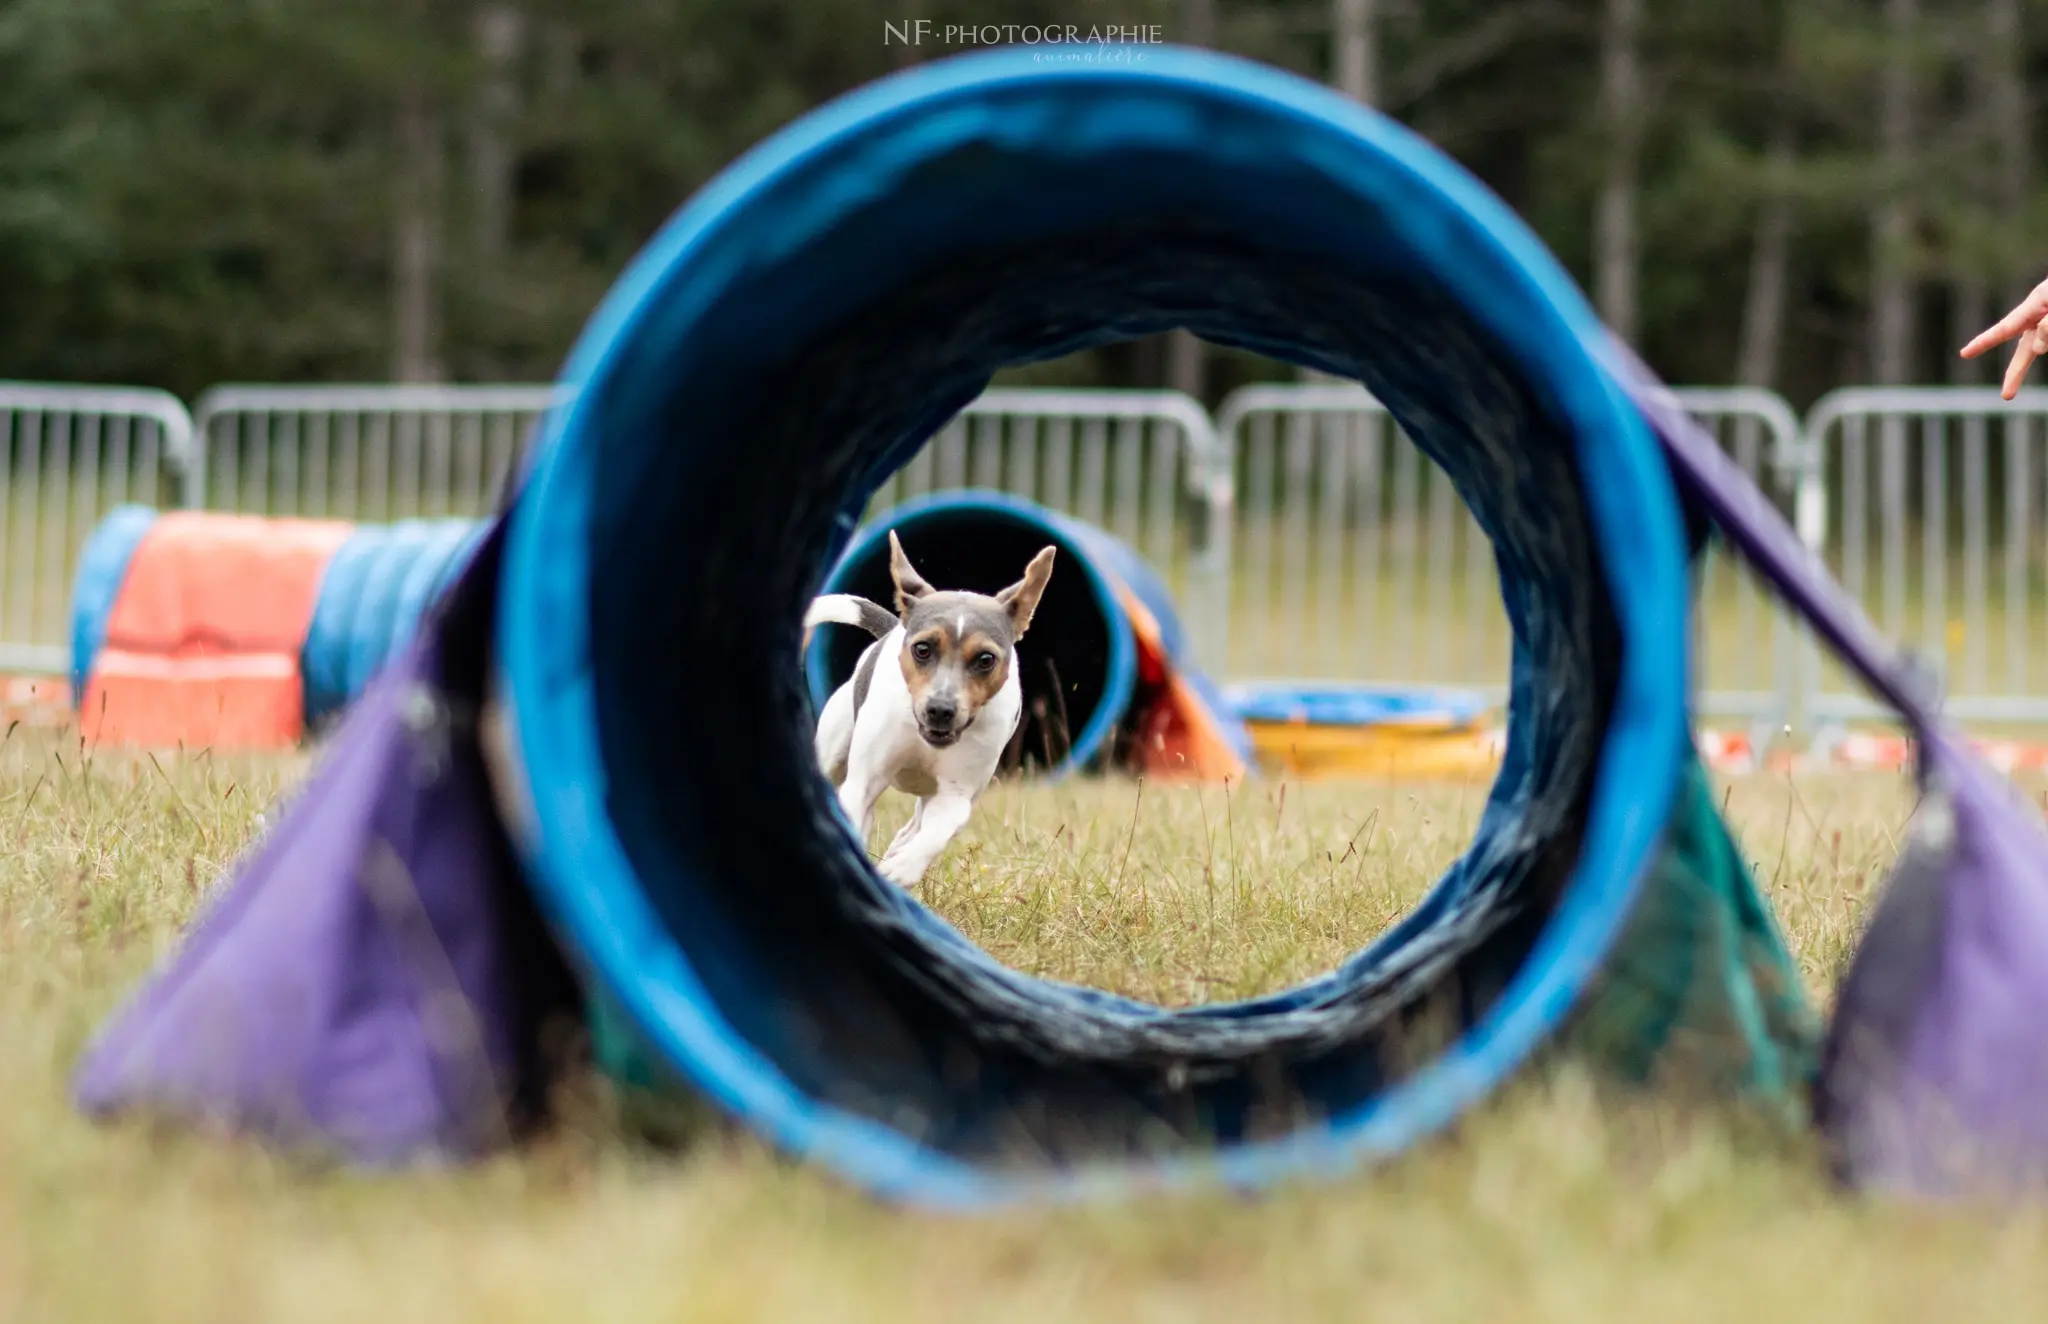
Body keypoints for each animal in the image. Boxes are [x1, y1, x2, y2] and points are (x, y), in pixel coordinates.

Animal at [798, 532, 1056, 893]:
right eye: (922, 649)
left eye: (985, 659)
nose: (940, 709)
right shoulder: (864, 781)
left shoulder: (955, 796)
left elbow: (934, 834)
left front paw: (900, 868)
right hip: (833, 753)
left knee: (915, 826)